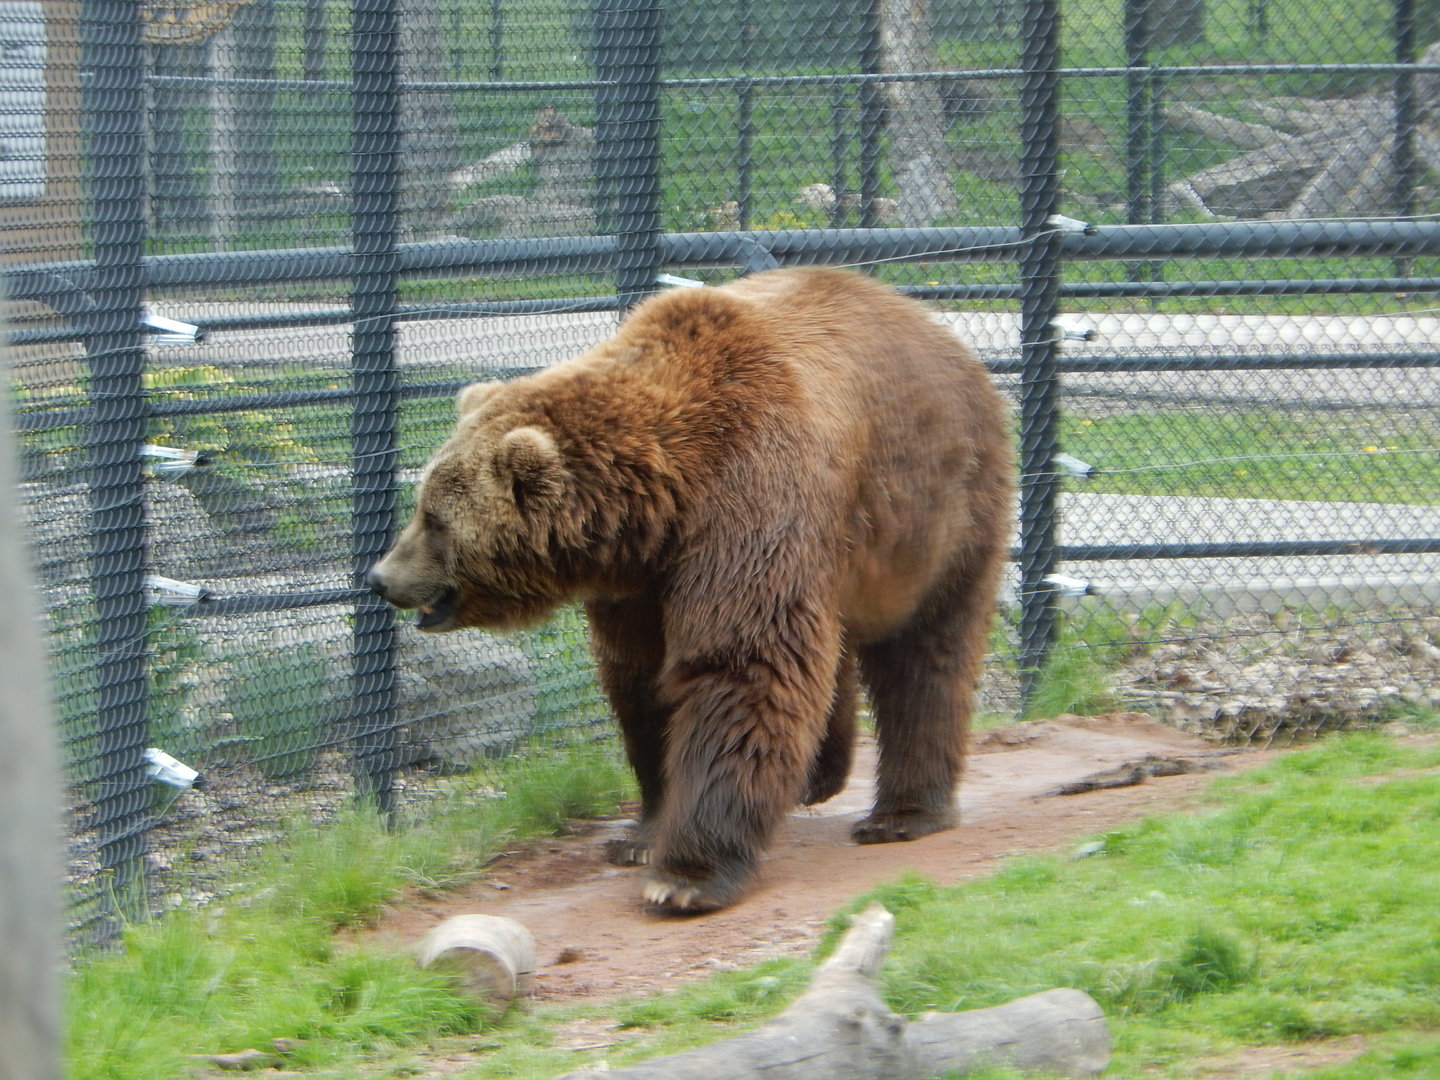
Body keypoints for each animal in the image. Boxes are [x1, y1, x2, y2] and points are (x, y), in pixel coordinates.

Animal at [367, 267, 1013, 914]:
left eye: (434, 518)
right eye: (423, 505)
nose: (381, 577)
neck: (662, 502)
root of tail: (938, 330)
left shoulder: (754, 498)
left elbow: (741, 663)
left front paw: (686, 876)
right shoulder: (640, 582)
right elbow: (642, 681)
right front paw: (641, 835)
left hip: (939, 511)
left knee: (925, 655)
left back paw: (902, 814)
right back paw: (816, 778)